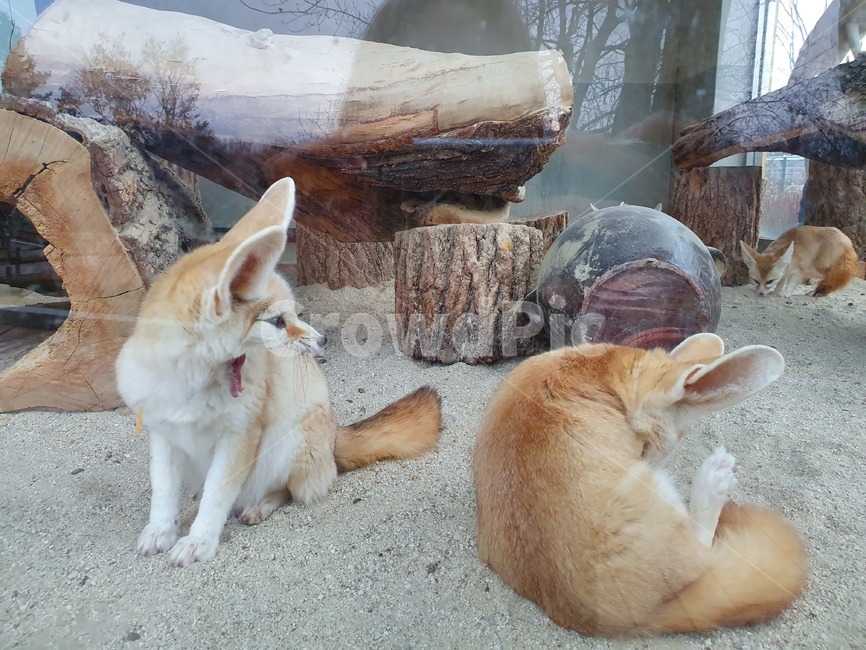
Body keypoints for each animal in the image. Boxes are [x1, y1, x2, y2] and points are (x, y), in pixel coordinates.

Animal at [115, 178, 441, 567]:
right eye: (276, 321)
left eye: (295, 314)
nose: (323, 340)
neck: (189, 384)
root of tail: (334, 437)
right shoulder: (163, 432)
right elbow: (163, 492)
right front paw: (160, 531)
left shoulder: (240, 437)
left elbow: (217, 495)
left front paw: (199, 541)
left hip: (289, 442)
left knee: (288, 490)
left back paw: (259, 505)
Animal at [472, 333, 808, 637]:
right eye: (649, 446)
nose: (648, 457)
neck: (598, 368)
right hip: (656, 489)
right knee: (703, 548)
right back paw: (713, 482)